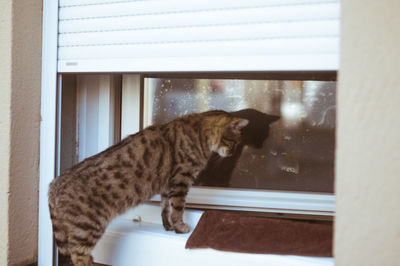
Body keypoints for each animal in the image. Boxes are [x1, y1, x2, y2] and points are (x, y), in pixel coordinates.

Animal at [48, 109, 248, 264]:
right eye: (234, 143)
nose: (232, 154)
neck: (199, 133)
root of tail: (54, 183)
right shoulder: (181, 179)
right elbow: (177, 208)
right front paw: (180, 226)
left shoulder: (168, 184)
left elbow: (165, 207)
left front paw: (168, 226)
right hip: (88, 228)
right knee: (77, 256)